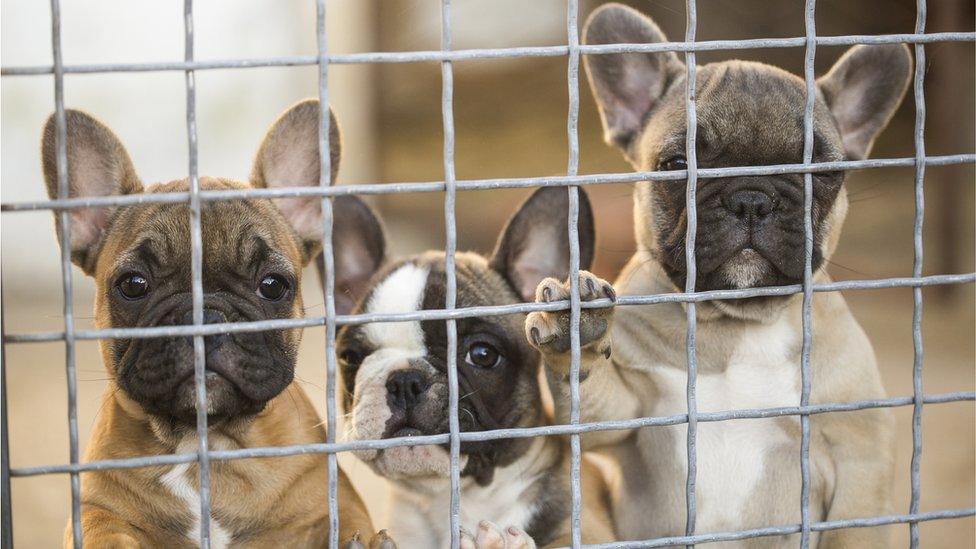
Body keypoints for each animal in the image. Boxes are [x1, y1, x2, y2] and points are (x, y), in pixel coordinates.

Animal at [41, 99, 392, 548]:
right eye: (133, 285)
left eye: (272, 285)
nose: (204, 317)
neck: (205, 441)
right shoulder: (93, 506)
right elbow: (104, 529)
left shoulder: (333, 500)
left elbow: (345, 519)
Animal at [528, 5, 916, 548]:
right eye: (676, 165)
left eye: (822, 173)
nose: (751, 198)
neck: (738, 326)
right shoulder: (625, 414)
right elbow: (591, 391)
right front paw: (575, 333)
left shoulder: (860, 464)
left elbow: (856, 523)